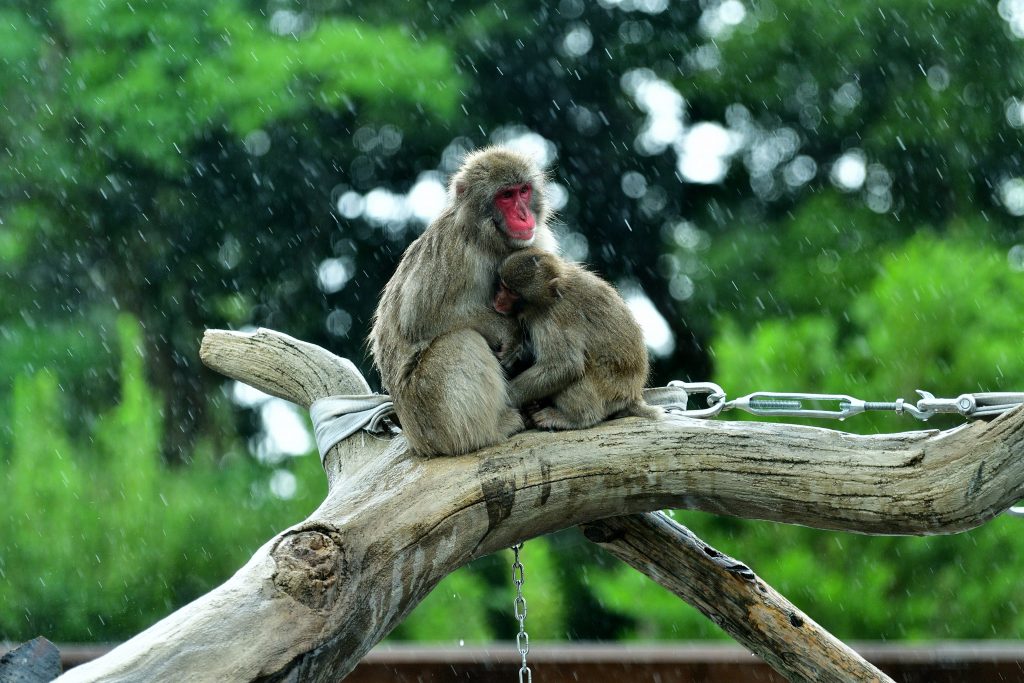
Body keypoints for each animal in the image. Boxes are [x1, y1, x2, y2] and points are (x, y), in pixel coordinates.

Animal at [497, 246, 663, 428]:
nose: (498, 300)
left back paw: (575, 418)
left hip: (610, 391)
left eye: (512, 292)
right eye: (502, 285)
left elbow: (566, 365)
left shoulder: (556, 315)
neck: (555, 294)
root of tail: (633, 395)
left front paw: (506, 399)